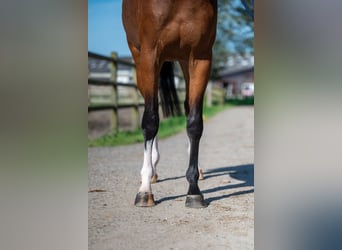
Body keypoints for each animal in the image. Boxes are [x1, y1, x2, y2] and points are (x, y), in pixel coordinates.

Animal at [122, 0, 216, 208]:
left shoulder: (200, 57)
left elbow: (195, 123)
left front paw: (194, 191)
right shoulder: (150, 55)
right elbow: (150, 122)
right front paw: (144, 190)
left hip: (183, 61)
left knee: (187, 107)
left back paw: (197, 170)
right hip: (141, 60)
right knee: (153, 110)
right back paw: (152, 171)